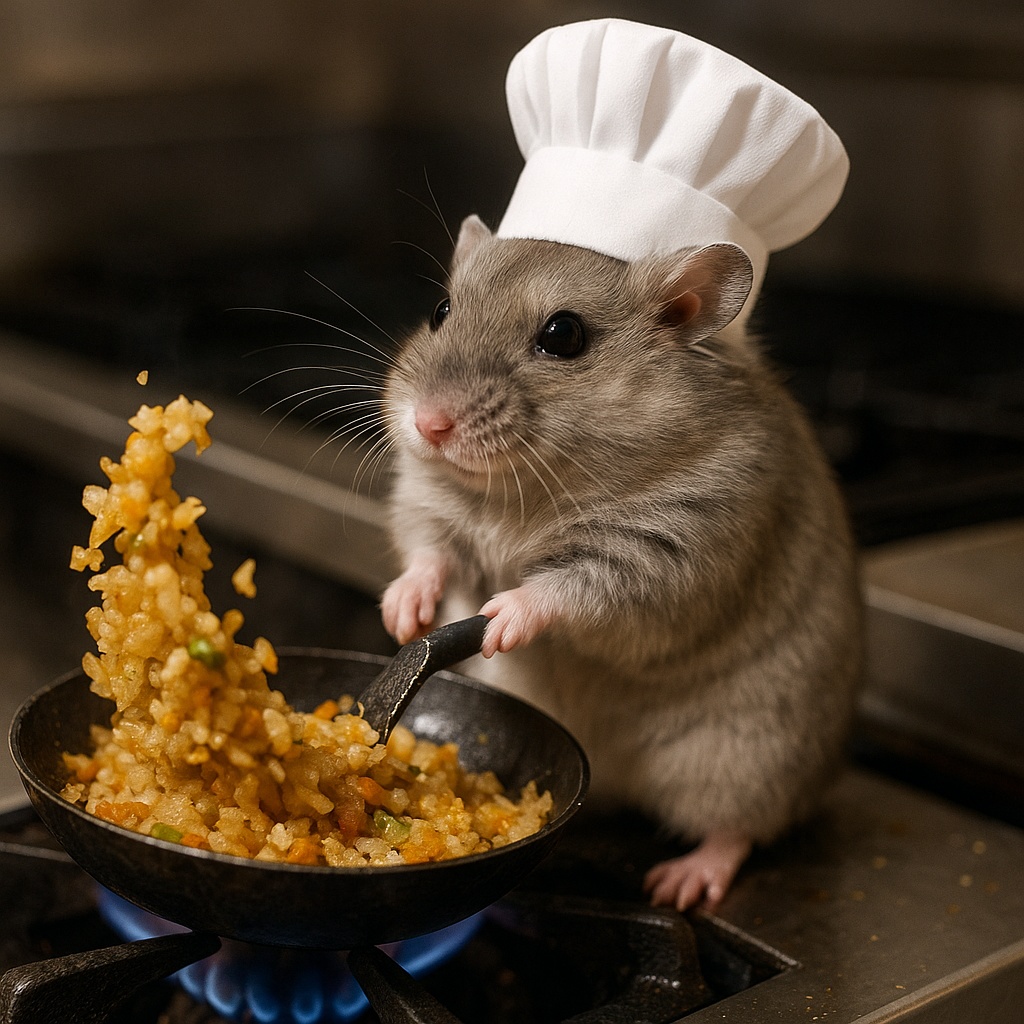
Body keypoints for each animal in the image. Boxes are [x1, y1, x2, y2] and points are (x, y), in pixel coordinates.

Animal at [379, 214, 863, 911]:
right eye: (440, 311)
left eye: (564, 335)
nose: (428, 424)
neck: (518, 491)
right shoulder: (428, 506)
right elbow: (429, 555)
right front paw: (402, 615)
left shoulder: (667, 555)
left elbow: (565, 590)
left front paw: (500, 622)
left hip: (749, 762)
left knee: (737, 831)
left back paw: (677, 887)